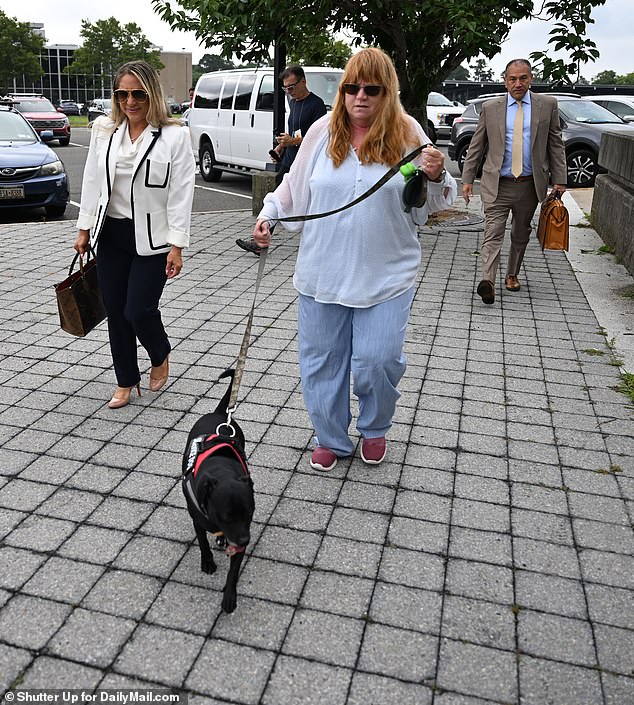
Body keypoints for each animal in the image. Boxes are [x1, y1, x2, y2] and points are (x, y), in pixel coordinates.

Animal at [181, 368, 253, 612]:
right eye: (226, 516)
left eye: (250, 514)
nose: (244, 541)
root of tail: (220, 414)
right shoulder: (198, 517)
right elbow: (202, 541)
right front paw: (207, 562)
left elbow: (233, 571)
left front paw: (229, 598)